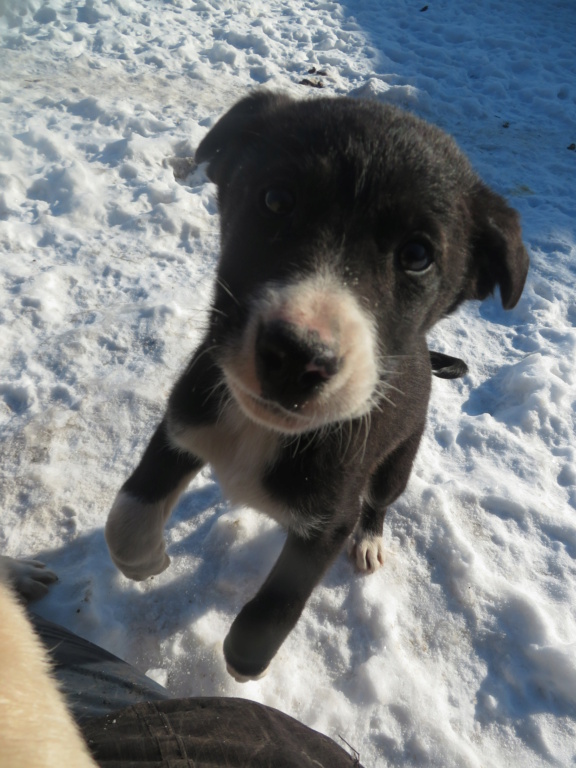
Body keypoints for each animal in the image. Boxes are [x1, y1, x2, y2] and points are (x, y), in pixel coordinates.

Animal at [106, 93, 528, 680]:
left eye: (417, 256)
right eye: (277, 200)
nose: (296, 359)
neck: (261, 430)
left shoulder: (330, 519)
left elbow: (278, 603)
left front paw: (244, 664)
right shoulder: (185, 419)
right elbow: (127, 515)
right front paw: (149, 562)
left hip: (397, 461)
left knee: (380, 504)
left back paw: (370, 543)